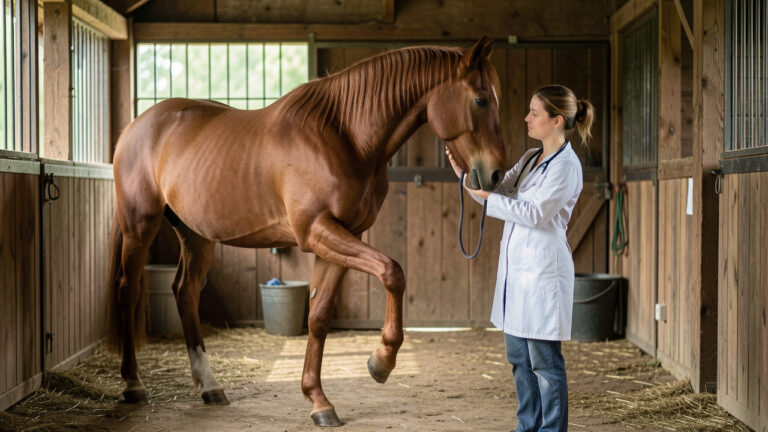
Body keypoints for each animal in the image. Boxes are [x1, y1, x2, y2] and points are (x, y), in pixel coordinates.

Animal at [106, 36, 506, 427]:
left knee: (185, 291)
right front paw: (381, 360)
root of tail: (135, 128)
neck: (343, 136)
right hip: (140, 225)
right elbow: (393, 272)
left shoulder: (345, 236)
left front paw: (318, 400)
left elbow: (319, 316)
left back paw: (210, 386)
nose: (496, 174)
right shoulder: (317, 231)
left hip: (196, 235)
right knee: (129, 289)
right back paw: (133, 384)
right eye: (481, 99)